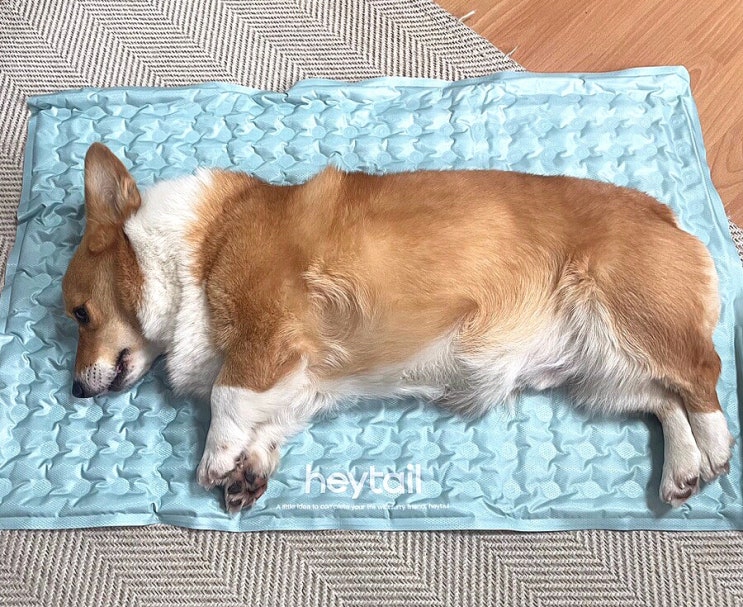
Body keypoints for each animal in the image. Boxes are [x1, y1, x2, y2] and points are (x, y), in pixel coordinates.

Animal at [62, 142, 734, 512]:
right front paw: (249, 472)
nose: (73, 391)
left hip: (634, 322)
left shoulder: (268, 335)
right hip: (601, 372)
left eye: (78, 314)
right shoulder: (298, 379)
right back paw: (683, 468)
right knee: (665, 402)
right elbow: (268, 421)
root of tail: (664, 212)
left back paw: (718, 447)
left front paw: (216, 461)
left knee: (704, 379)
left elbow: (228, 397)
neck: (191, 252)